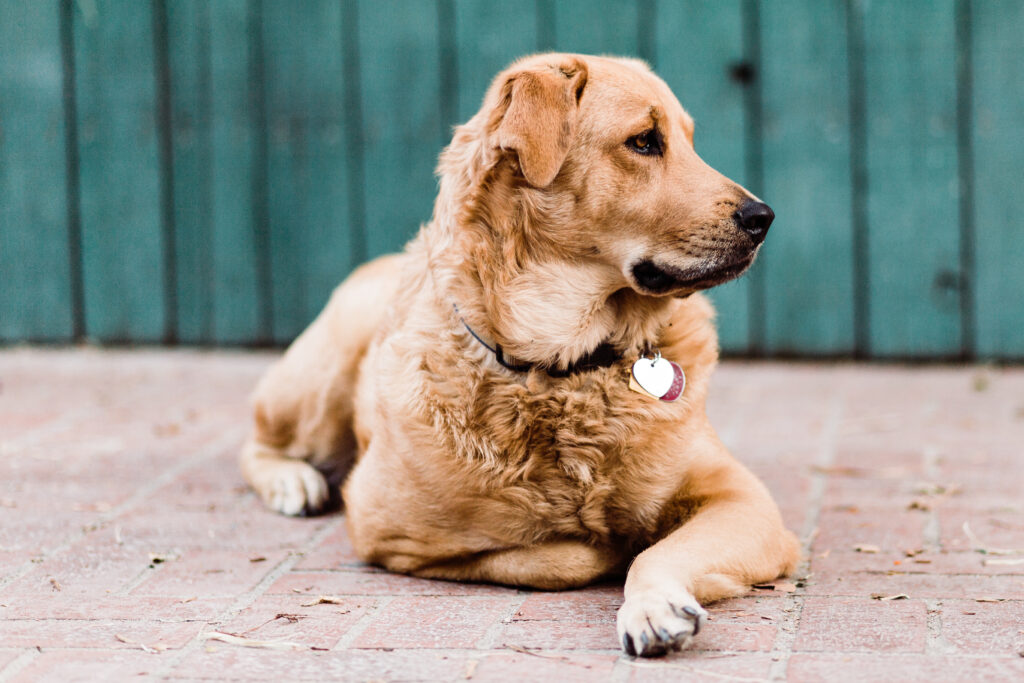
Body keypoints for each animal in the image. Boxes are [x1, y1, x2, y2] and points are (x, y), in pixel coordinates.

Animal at [239, 53, 798, 655]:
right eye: (645, 142)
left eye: (690, 141)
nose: (763, 218)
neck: (566, 364)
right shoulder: (385, 530)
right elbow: (567, 557)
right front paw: (605, 547)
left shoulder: (743, 500)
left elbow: (656, 551)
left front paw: (653, 602)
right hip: (324, 378)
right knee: (260, 441)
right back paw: (293, 481)